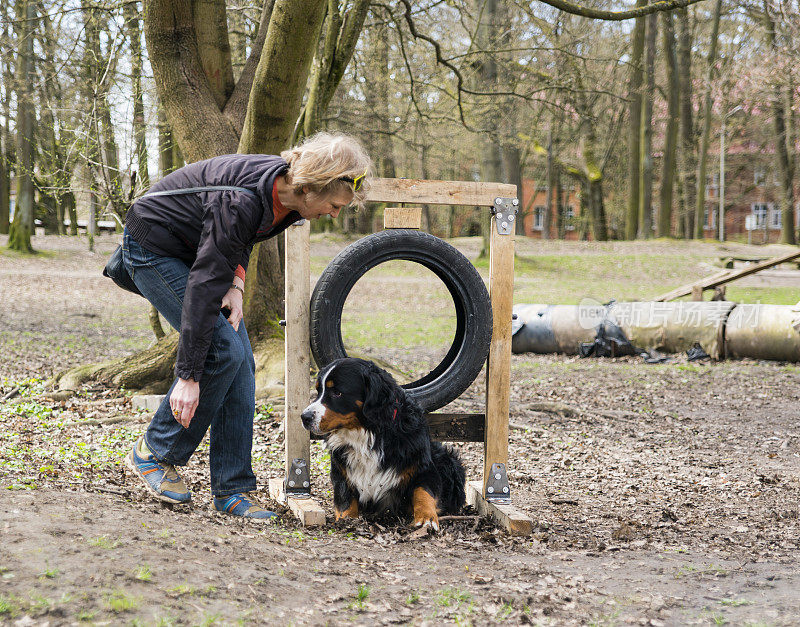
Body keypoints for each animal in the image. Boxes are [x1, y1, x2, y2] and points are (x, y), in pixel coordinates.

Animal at [302, 358, 466, 528]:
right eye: (318, 391)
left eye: (337, 392)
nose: (304, 417)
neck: (368, 435)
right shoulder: (341, 472)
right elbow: (344, 499)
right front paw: (347, 520)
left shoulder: (423, 468)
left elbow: (423, 492)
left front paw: (426, 517)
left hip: (448, 460)